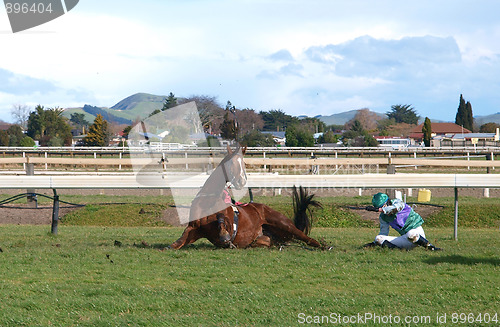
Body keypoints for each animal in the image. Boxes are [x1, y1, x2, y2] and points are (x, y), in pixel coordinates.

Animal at [170, 145, 322, 250]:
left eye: (243, 163)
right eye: (231, 163)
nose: (241, 181)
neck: (208, 201)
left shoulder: (229, 224)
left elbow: (221, 220)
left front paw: (224, 234)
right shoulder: (194, 229)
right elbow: (177, 242)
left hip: (283, 224)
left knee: (304, 236)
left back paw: (322, 245)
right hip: (266, 239)